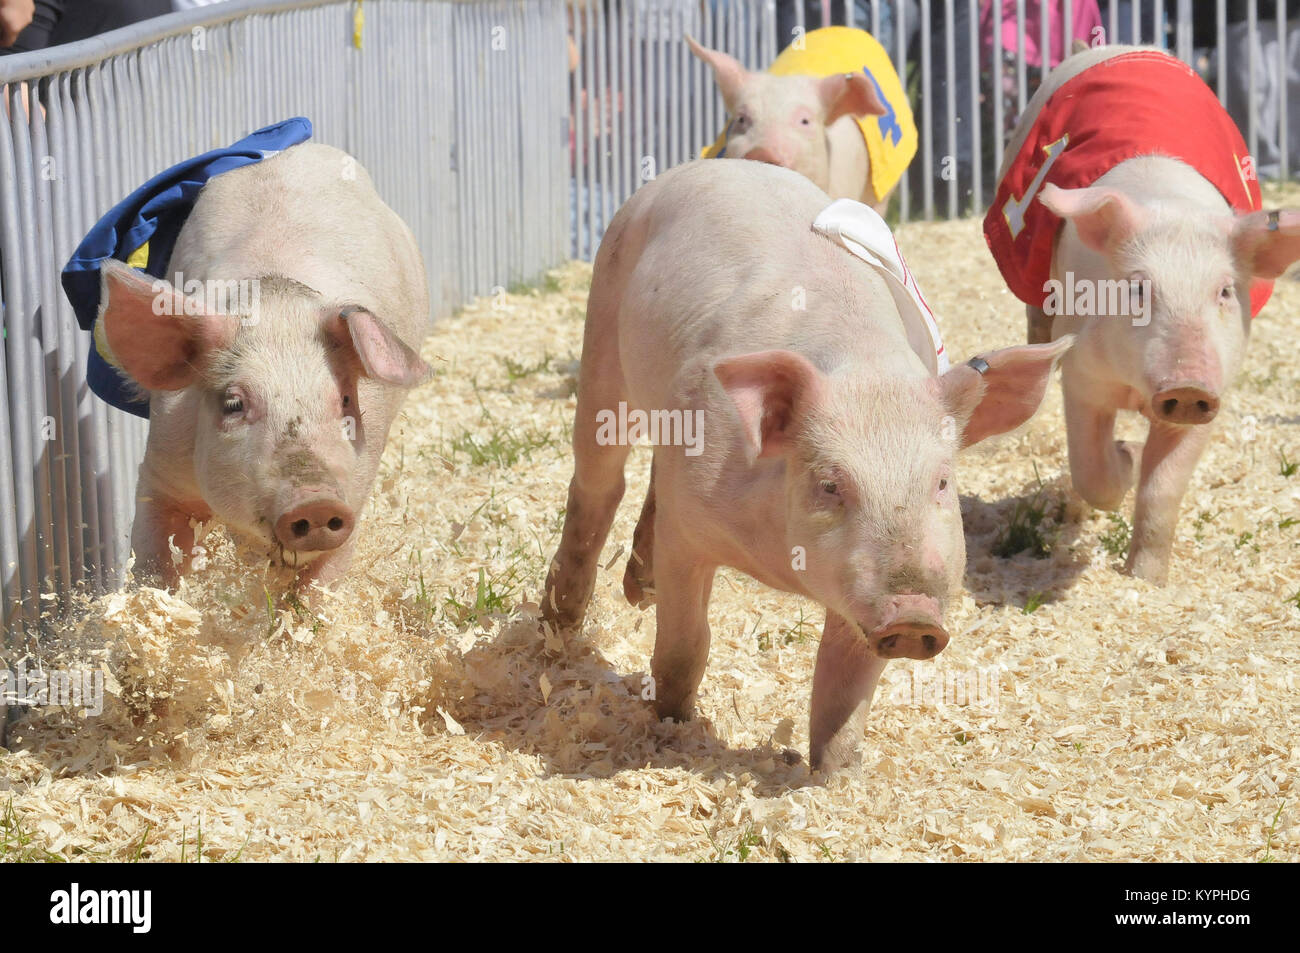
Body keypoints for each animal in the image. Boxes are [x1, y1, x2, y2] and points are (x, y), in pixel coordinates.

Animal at [97, 141, 431, 587]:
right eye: (233, 403)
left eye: (344, 401)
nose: (316, 502)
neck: (277, 309)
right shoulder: (160, 471)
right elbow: (153, 566)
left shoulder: (356, 488)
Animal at [543, 156, 1071, 764]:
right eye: (830, 484)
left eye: (941, 483)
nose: (914, 613)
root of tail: (717, 162)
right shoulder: (690, 530)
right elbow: (683, 647)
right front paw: (671, 729)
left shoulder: (859, 595)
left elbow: (843, 691)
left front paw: (833, 774)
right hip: (603, 328)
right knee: (599, 481)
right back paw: (558, 626)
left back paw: (635, 591)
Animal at [982, 48, 1300, 582]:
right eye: (1137, 288)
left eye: (1224, 291)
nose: (1186, 385)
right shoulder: (1083, 372)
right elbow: (1091, 470)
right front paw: (1126, 456)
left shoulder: (1216, 388)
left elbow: (1163, 490)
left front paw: (1147, 579)